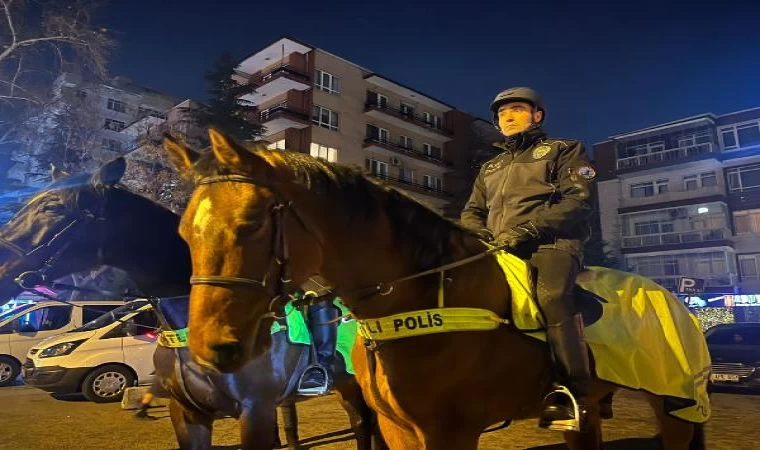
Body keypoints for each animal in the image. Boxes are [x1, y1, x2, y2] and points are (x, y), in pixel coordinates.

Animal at [165, 128, 708, 450]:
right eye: (184, 234)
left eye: (251, 223)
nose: (211, 347)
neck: (420, 299)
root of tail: (676, 300)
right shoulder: (398, 427)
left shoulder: (451, 432)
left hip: (674, 405)